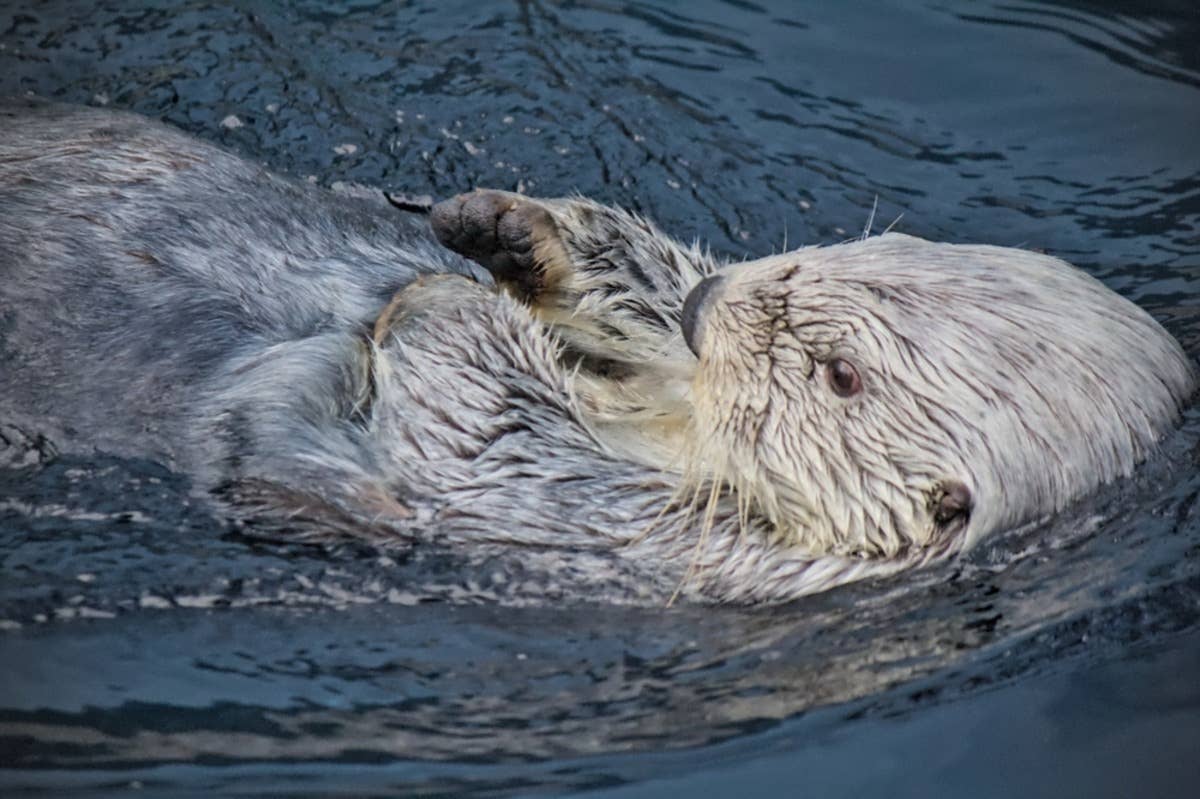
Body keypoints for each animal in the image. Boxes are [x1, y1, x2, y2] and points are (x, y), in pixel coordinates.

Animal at [1, 99, 1195, 602]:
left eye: (842, 375)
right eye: (863, 245)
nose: (716, 304)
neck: (671, 434)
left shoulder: (656, 540)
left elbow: (491, 426)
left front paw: (444, 296)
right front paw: (515, 233)